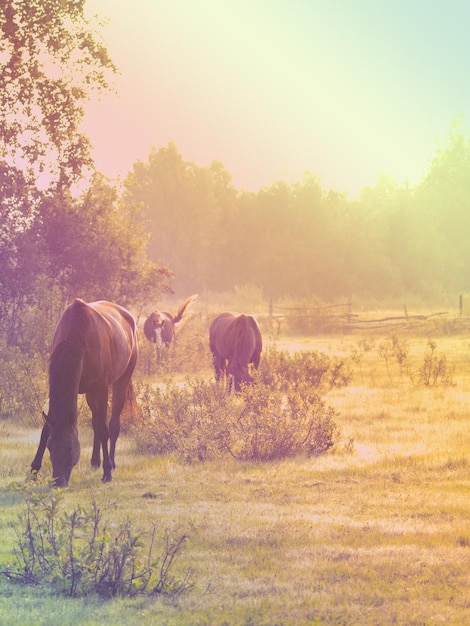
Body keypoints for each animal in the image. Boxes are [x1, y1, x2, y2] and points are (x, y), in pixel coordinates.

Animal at [30, 298, 138, 488]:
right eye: (50, 446)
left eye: (70, 447)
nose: (59, 482)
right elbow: (46, 430)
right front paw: (34, 471)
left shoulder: (101, 388)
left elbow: (103, 429)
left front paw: (107, 472)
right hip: (90, 394)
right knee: (95, 421)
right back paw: (95, 461)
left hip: (121, 381)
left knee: (113, 424)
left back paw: (111, 462)